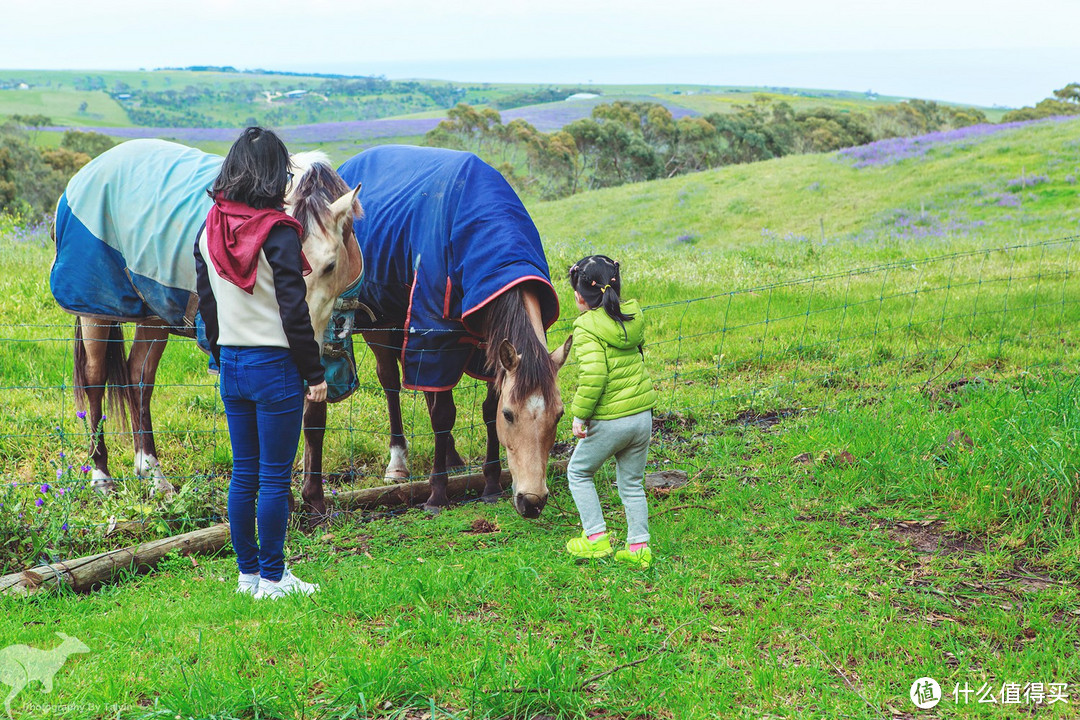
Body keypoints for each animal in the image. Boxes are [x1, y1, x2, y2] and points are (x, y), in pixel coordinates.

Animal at [49, 143, 362, 498]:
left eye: (329, 265)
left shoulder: (323, 348)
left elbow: (312, 419)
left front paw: (313, 500)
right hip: (94, 309)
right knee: (94, 379)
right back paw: (102, 476)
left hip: (154, 314)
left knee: (139, 377)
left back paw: (153, 474)